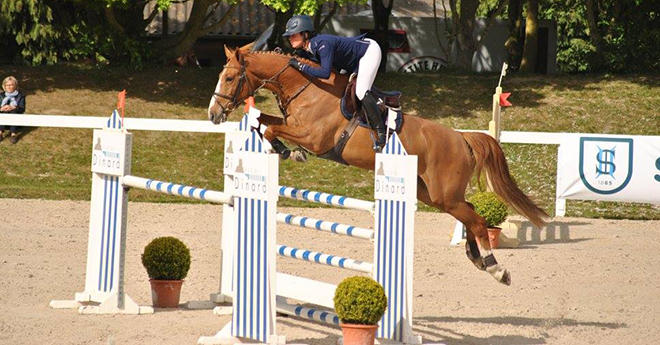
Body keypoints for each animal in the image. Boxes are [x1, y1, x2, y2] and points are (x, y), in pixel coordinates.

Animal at [209, 44, 548, 284]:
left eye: (229, 77)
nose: (213, 114)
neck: (304, 88)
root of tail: (461, 137)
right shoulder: (293, 125)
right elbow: (262, 123)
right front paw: (279, 149)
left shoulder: (314, 137)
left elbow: (271, 129)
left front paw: (289, 152)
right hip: (433, 195)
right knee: (472, 213)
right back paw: (476, 256)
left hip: (444, 195)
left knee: (477, 221)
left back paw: (495, 268)